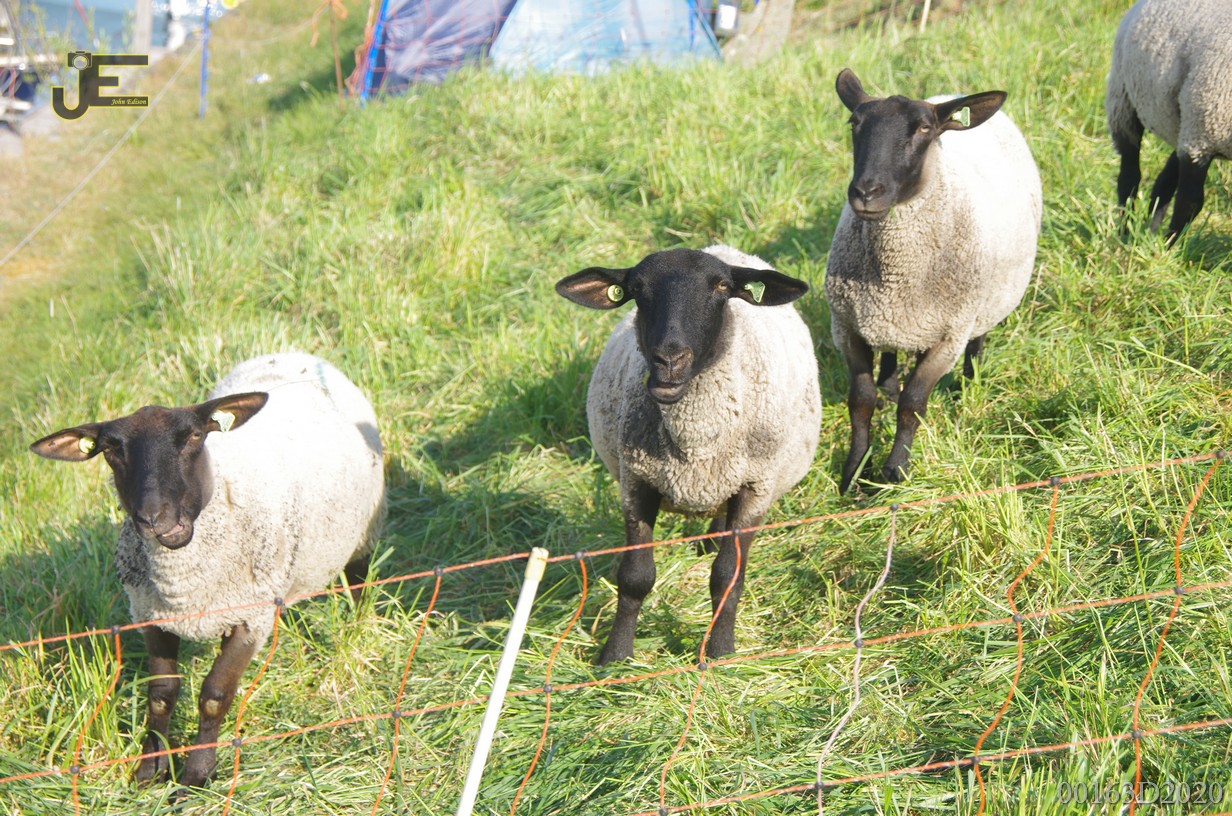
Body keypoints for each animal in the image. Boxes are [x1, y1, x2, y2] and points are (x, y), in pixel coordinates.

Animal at [30, 352, 386, 788]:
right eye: (111, 451)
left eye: (195, 437)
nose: (154, 518)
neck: (183, 582)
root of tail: (293, 353)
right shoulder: (152, 616)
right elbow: (161, 694)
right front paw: (150, 769)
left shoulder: (250, 618)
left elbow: (214, 697)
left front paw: (196, 775)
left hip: (364, 530)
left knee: (358, 578)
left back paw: (356, 624)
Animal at [556, 245, 821, 663]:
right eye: (636, 288)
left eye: (722, 287)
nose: (668, 360)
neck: (696, 449)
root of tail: (723, 248)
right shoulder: (637, 483)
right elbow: (635, 578)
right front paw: (615, 656)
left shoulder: (754, 489)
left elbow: (728, 577)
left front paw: (720, 653)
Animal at [825, 68, 1041, 493]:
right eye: (854, 123)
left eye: (924, 128)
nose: (865, 193)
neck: (894, 275)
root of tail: (951, 96)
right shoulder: (848, 327)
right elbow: (861, 401)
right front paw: (854, 471)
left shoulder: (947, 337)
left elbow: (913, 406)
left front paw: (895, 471)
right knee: (891, 351)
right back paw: (890, 382)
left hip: (983, 303)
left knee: (978, 338)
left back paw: (971, 382)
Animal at [1105, 0, 1232, 243]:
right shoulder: (1205, 132)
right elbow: (1190, 202)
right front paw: (1168, 247)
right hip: (1124, 98)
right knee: (1129, 176)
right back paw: (1125, 233)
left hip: (1185, 123)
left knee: (1163, 182)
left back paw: (1149, 231)